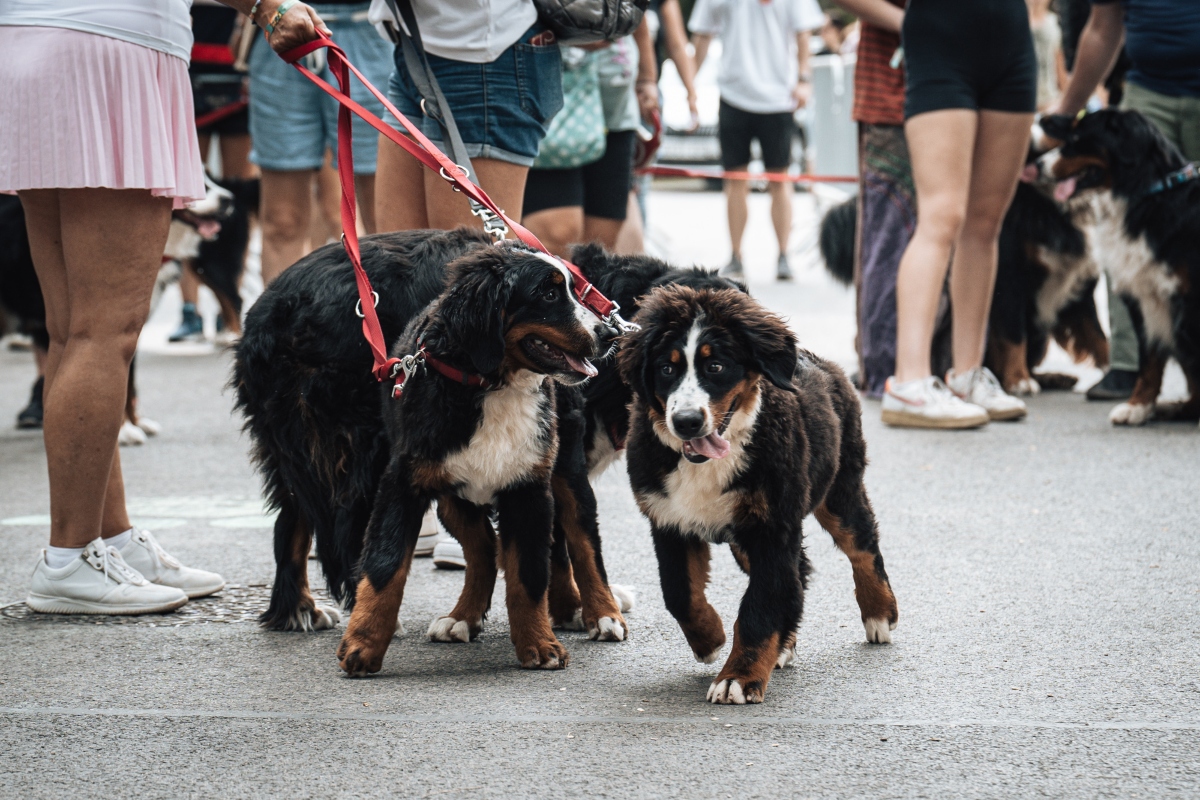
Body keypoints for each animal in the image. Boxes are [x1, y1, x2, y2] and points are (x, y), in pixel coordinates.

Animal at [624, 284, 897, 705]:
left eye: (715, 367)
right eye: (666, 369)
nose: (686, 422)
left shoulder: (772, 528)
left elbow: (760, 605)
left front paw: (739, 676)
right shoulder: (669, 519)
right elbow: (679, 592)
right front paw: (709, 639)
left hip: (839, 489)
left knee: (862, 546)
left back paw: (880, 613)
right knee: (799, 572)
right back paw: (784, 644)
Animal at [1041, 110, 1200, 431]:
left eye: (1077, 138)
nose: (1039, 165)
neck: (1147, 197)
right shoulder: (1146, 300)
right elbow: (1149, 362)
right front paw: (1137, 406)